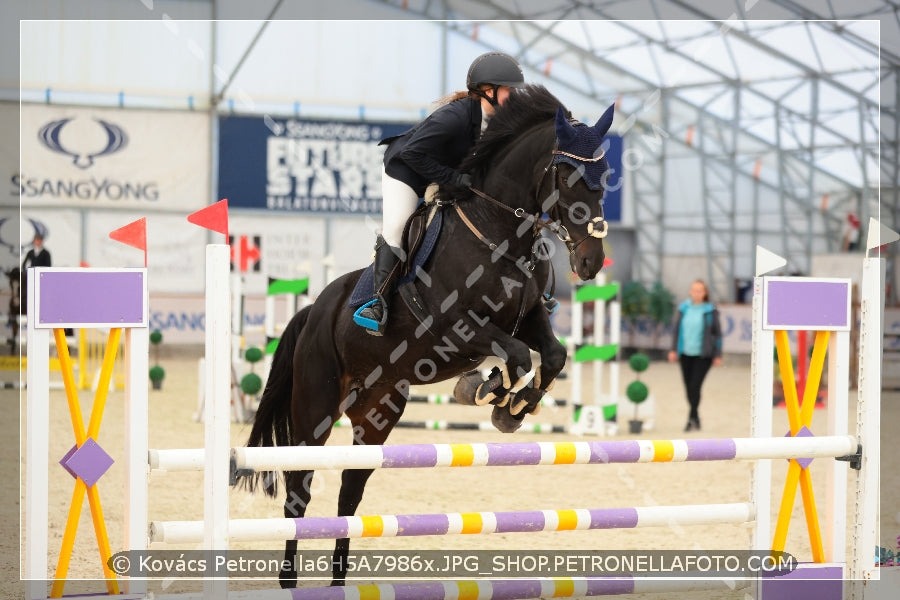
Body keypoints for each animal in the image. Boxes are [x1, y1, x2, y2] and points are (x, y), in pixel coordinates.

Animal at [243, 84, 616, 584]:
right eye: (567, 173)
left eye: (606, 174)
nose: (592, 262)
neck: (502, 234)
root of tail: (315, 309)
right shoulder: (457, 328)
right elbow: (517, 354)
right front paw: (488, 391)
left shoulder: (531, 316)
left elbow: (551, 356)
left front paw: (512, 407)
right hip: (315, 408)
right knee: (297, 490)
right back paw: (289, 578)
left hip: (377, 412)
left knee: (349, 493)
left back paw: (338, 581)